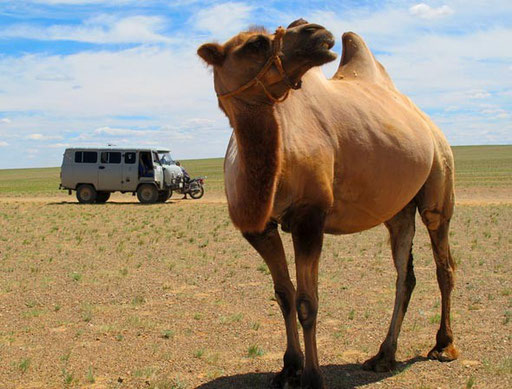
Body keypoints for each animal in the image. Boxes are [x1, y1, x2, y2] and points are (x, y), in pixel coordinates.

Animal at [198, 19, 458, 388]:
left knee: (443, 263)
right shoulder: (261, 229)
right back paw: (384, 355)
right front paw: (289, 368)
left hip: (439, 176)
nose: (315, 31)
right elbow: (284, 294)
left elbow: (307, 302)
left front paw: (312, 376)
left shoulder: (310, 217)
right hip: (398, 209)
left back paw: (444, 346)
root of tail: (426, 121)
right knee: (405, 276)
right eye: (255, 44)